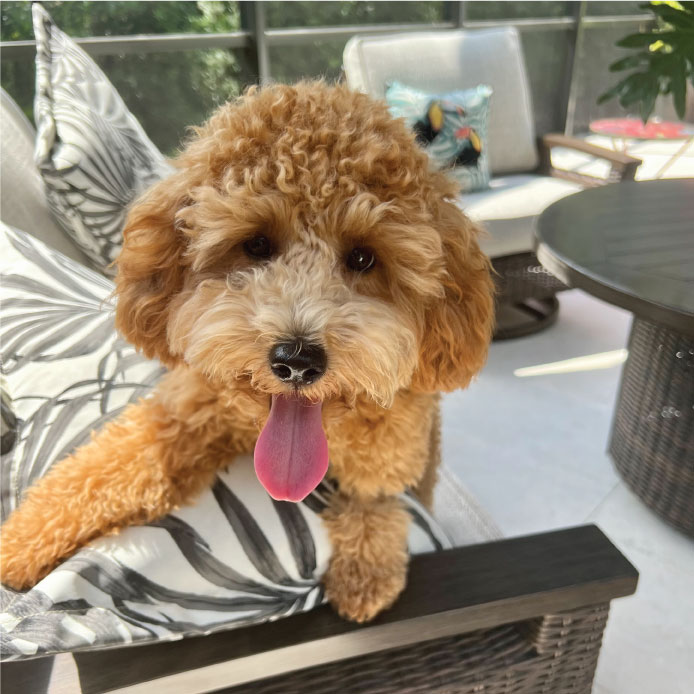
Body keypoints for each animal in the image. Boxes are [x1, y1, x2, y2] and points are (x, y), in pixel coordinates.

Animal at [0, 81, 494, 624]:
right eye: (256, 244)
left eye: (364, 257)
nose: (297, 360)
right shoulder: (180, 418)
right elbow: (101, 472)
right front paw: (16, 545)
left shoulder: (390, 459)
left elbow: (376, 506)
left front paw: (366, 576)